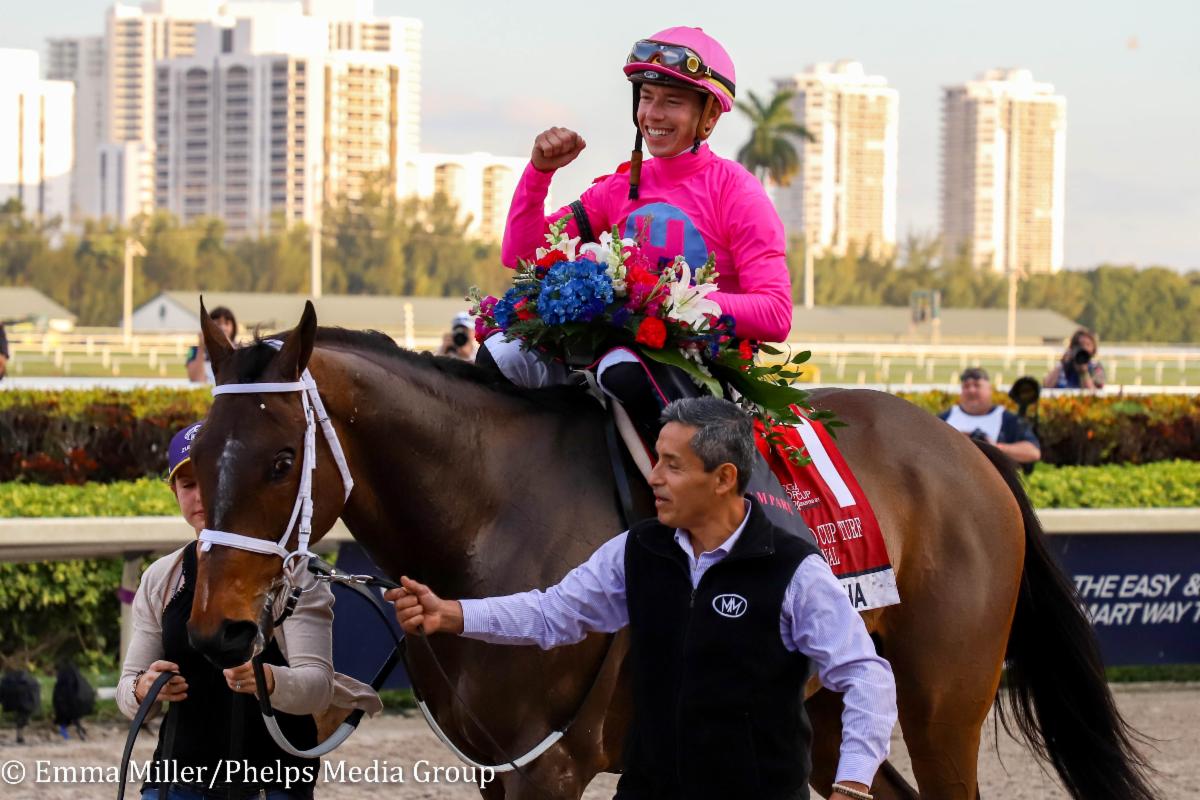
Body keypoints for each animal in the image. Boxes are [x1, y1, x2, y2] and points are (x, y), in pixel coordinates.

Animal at [184, 303, 1152, 800]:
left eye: (280, 460)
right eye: (191, 456)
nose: (216, 631)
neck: (490, 510)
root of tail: (966, 447)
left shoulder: (553, 763)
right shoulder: (500, 764)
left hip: (943, 697)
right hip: (831, 709)